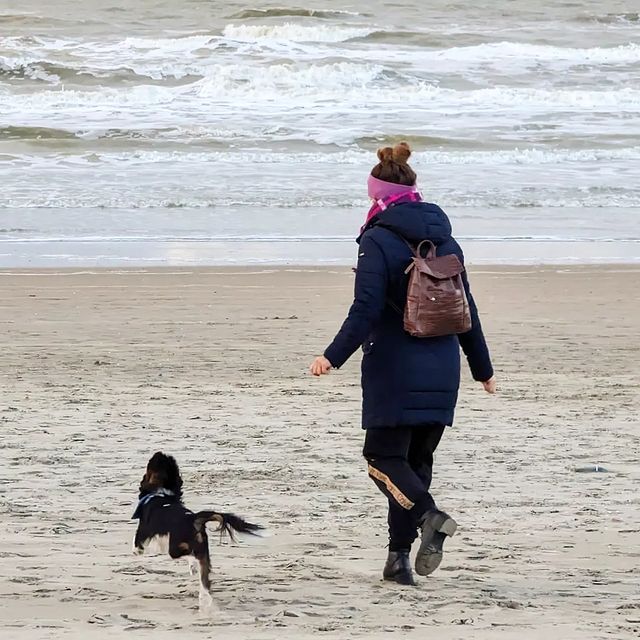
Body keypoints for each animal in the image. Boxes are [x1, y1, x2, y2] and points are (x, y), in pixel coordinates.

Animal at [132, 452, 262, 608]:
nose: (158, 453)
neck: (160, 494)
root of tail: (193, 518)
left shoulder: (143, 530)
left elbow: (137, 544)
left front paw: (138, 551)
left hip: (175, 548)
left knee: (189, 556)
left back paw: (193, 567)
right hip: (203, 549)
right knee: (204, 579)